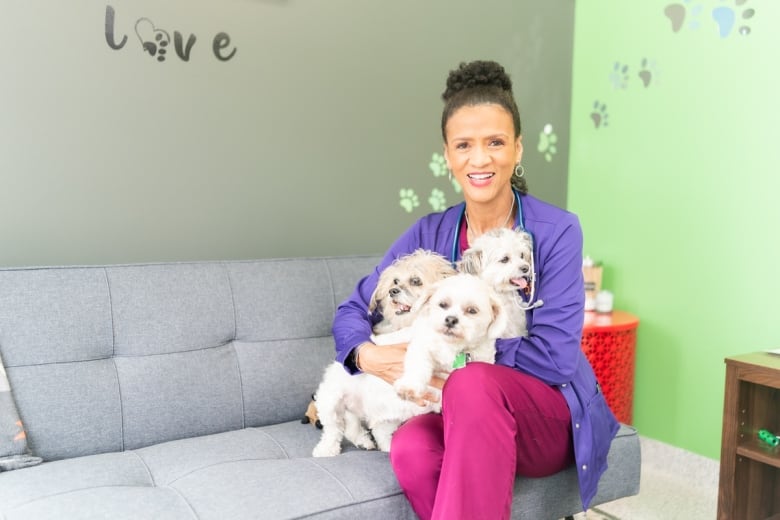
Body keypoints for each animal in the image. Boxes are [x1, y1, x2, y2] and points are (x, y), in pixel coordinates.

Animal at [310, 250, 458, 458]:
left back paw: (375, 443)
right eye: (395, 281)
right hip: (331, 401)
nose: (392, 291)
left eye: (416, 281)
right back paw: (326, 449)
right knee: (334, 429)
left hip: (389, 416)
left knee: (371, 430)